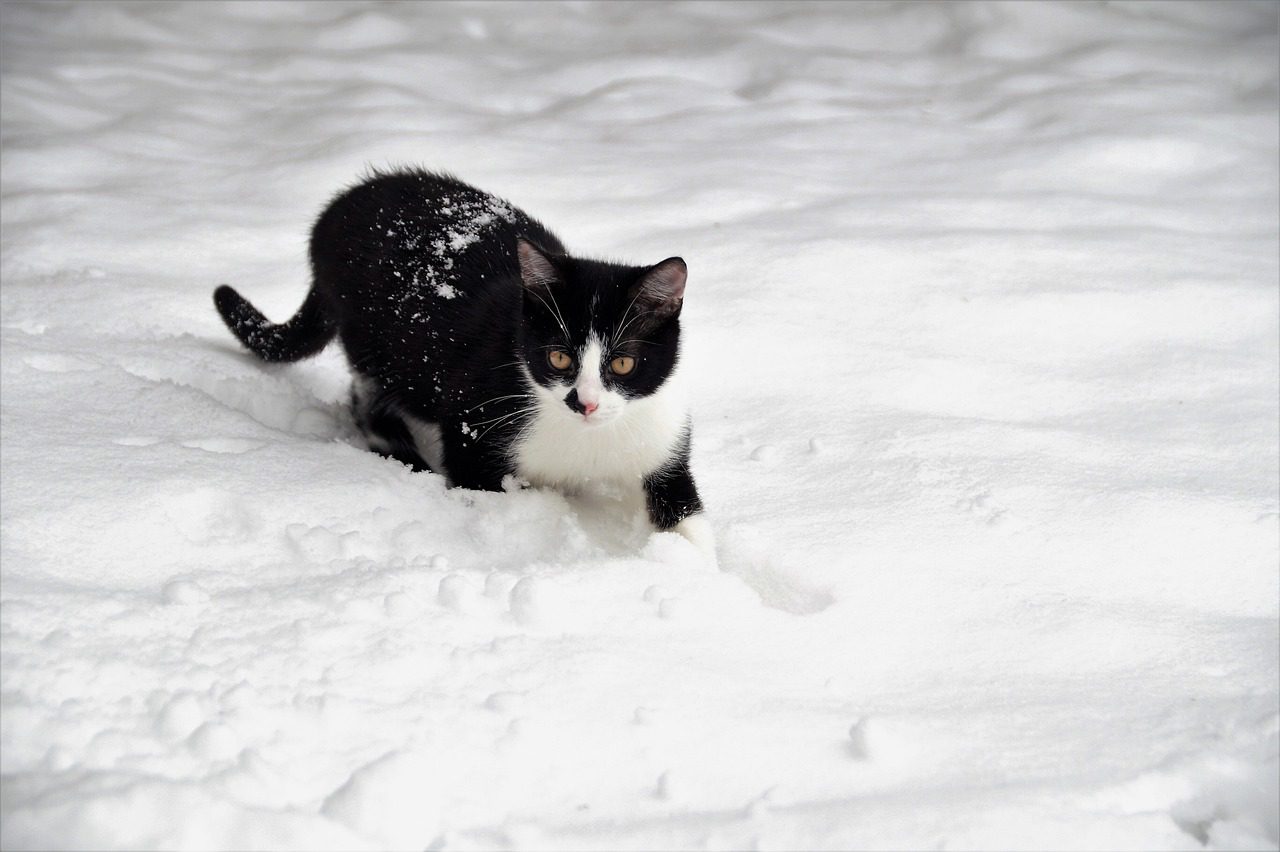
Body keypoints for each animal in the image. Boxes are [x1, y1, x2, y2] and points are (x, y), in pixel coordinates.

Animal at [209, 166, 711, 550]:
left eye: (623, 363)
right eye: (558, 358)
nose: (584, 403)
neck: (586, 440)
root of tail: (336, 209)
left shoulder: (662, 438)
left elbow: (685, 511)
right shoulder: (474, 422)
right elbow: (479, 484)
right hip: (377, 340)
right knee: (369, 394)